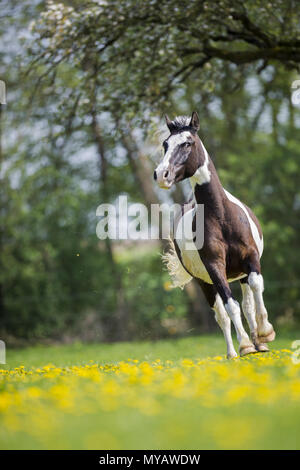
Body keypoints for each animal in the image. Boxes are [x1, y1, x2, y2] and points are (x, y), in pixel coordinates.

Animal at [154, 112, 276, 358]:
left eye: (187, 143)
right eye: (165, 144)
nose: (162, 175)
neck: (222, 217)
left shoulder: (250, 259)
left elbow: (256, 287)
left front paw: (265, 333)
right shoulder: (214, 267)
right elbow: (230, 307)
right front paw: (245, 345)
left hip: (239, 274)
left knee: (248, 305)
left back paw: (260, 344)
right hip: (205, 283)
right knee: (222, 316)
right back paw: (233, 353)